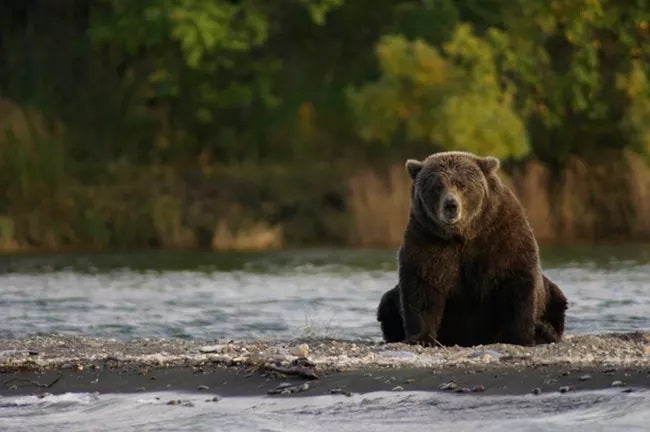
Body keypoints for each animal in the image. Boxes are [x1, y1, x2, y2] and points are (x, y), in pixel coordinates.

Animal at [377, 151, 567, 347]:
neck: (463, 234)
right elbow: (422, 286)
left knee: (557, 301)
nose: (451, 205)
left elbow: (515, 281)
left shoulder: (500, 234)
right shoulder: (427, 238)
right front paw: (420, 338)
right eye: (437, 186)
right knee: (387, 303)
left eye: (461, 184)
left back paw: (544, 330)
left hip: (551, 295)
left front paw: (521, 337)